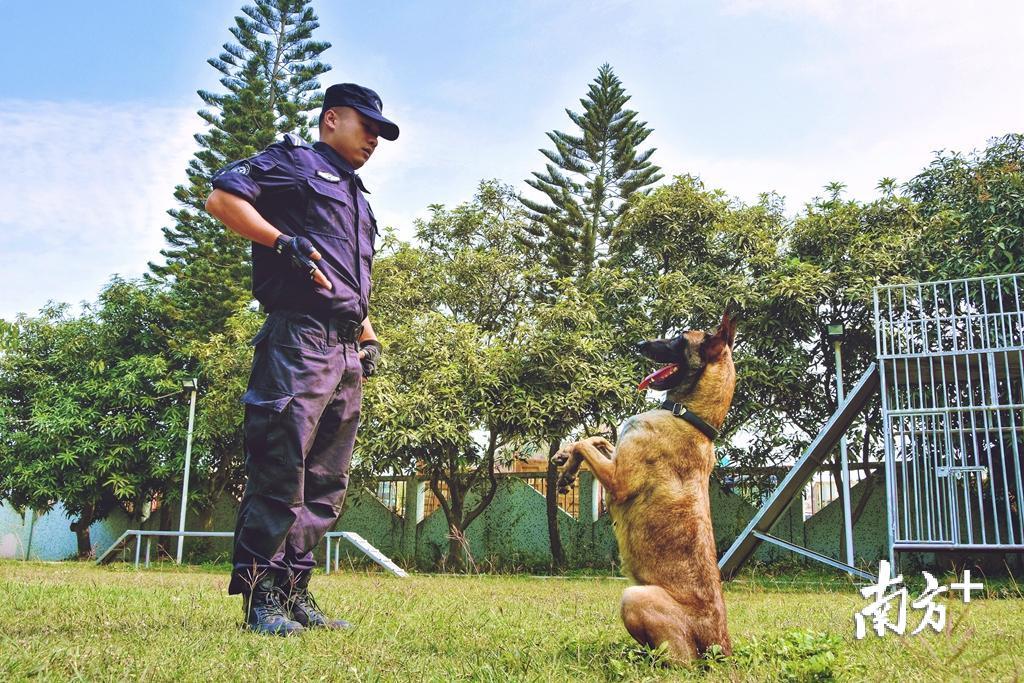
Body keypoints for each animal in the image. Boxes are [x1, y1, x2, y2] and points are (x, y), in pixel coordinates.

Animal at [552, 309, 737, 663]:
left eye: (680, 338)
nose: (639, 344)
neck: (690, 416)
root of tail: (721, 643)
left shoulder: (618, 479)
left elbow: (586, 442)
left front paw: (569, 460)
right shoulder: (618, 454)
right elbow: (597, 439)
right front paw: (565, 460)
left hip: (635, 597)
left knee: (680, 662)